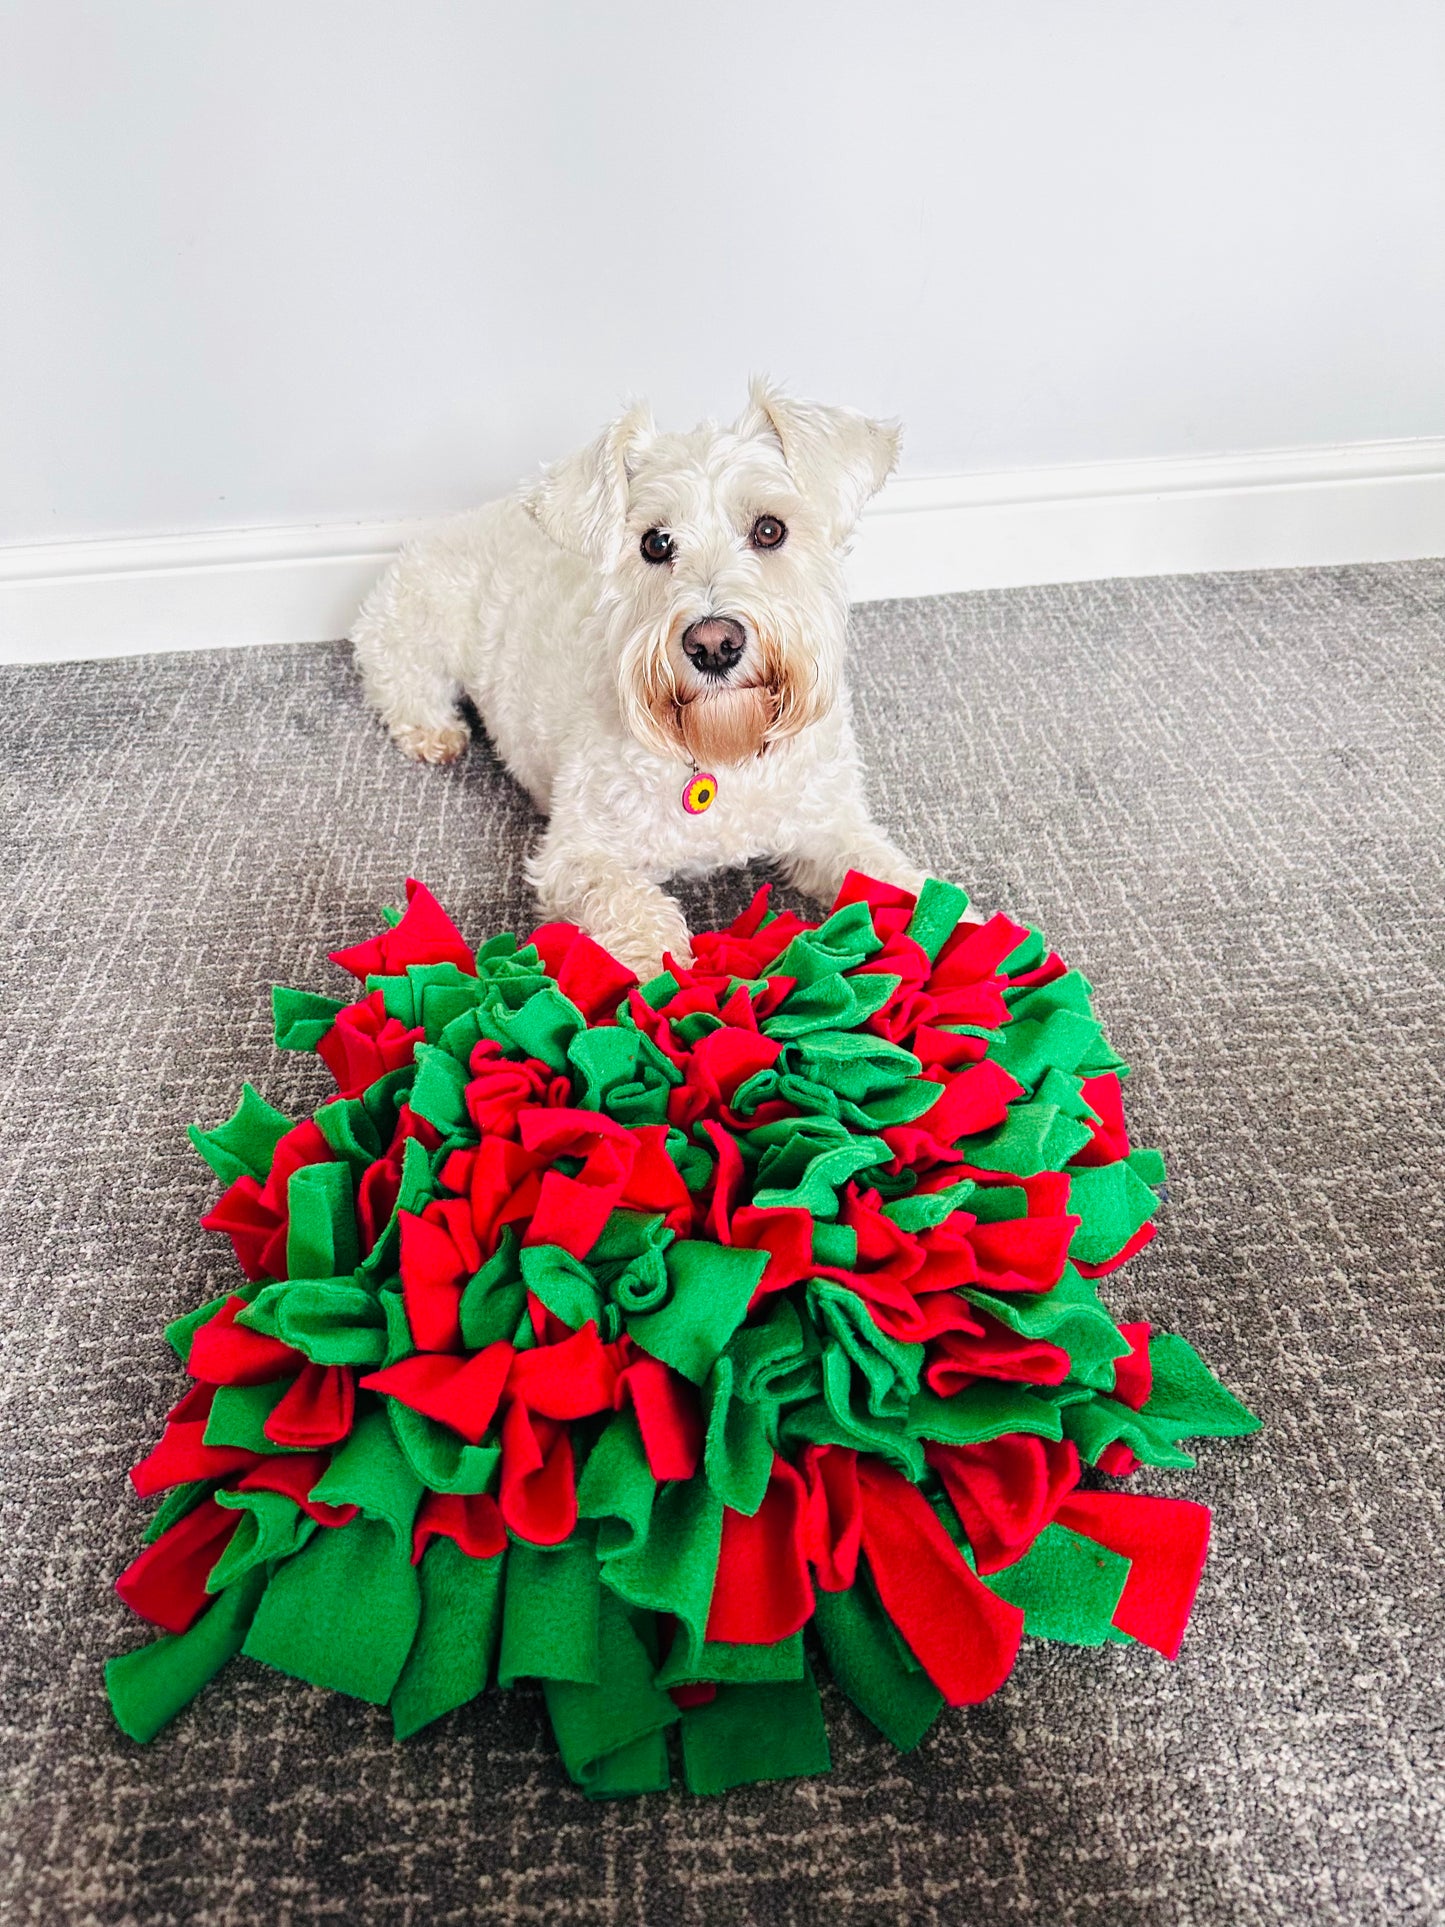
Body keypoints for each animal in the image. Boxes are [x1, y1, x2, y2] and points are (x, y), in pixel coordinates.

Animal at [354, 375, 951, 978]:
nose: (714, 645)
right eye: (656, 543)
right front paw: (660, 986)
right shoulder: (577, 852)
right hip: (416, 623)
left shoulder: (828, 824)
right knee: (393, 670)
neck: (722, 752)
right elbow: (636, 907)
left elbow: (890, 878)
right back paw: (433, 731)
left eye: (769, 528)